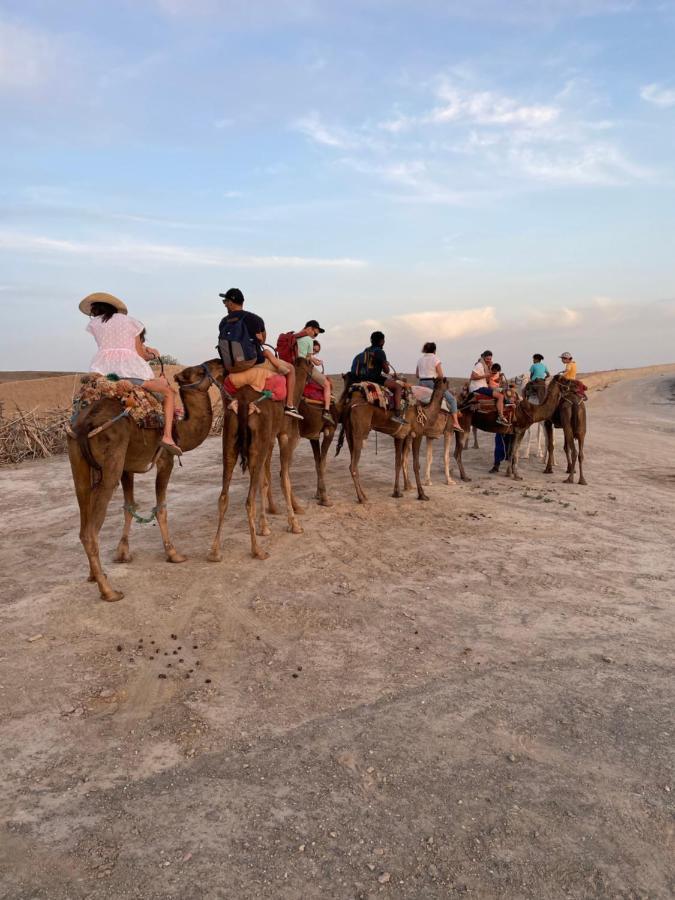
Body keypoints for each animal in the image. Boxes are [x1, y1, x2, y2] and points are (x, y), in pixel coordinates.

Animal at [68, 360, 219, 604]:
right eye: (197, 371)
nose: (219, 364)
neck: (181, 431)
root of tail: (84, 425)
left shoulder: (126, 467)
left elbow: (129, 506)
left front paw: (122, 553)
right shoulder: (165, 460)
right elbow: (161, 508)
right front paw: (174, 554)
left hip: (79, 465)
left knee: (83, 518)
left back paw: (94, 575)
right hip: (110, 463)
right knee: (91, 530)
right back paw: (109, 591)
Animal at [207, 356, 312, 556]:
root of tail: (243, 404)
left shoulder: (268, 441)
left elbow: (265, 481)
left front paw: (264, 527)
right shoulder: (284, 436)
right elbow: (284, 479)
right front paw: (294, 524)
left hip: (230, 441)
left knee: (223, 496)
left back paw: (215, 551)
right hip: (256, 444)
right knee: (249, 500)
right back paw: (257, 550)